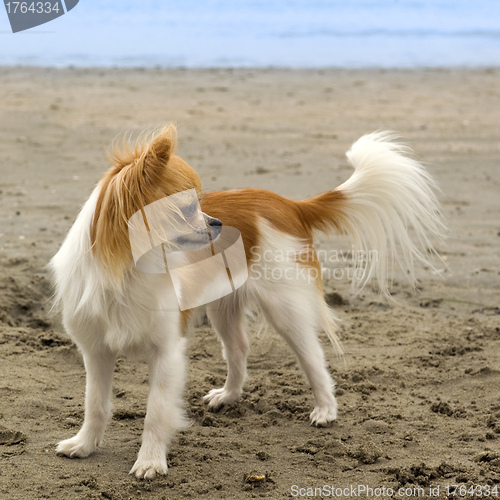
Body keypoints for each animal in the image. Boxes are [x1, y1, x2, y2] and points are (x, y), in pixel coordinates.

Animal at [49, 125, 442, 476]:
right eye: (188, 208)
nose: (218, 223)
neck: (127, 271)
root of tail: (290, 204)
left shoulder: (167, 352)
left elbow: (157, 411)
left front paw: (150, 461)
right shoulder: (96, 352)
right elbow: (95, 403)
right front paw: (84, 445)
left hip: (284, 309)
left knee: (313, 357)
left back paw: (326, 409)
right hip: (223, 309)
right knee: (238, 349)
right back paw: (228, 395)